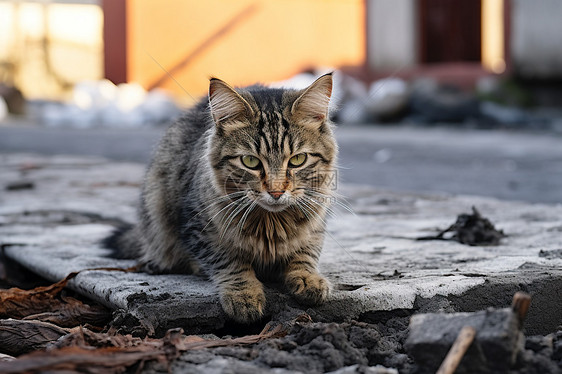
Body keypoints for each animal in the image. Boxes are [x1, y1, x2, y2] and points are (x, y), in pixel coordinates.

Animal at [105, 74, 336, 324]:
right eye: (250, 162)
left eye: (297, 160)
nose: (276, 192)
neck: (270, 223)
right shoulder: (198, 226)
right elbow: (229, 262)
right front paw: (243, 294)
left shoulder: (316, 222)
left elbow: (305, 254)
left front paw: (308, 278)